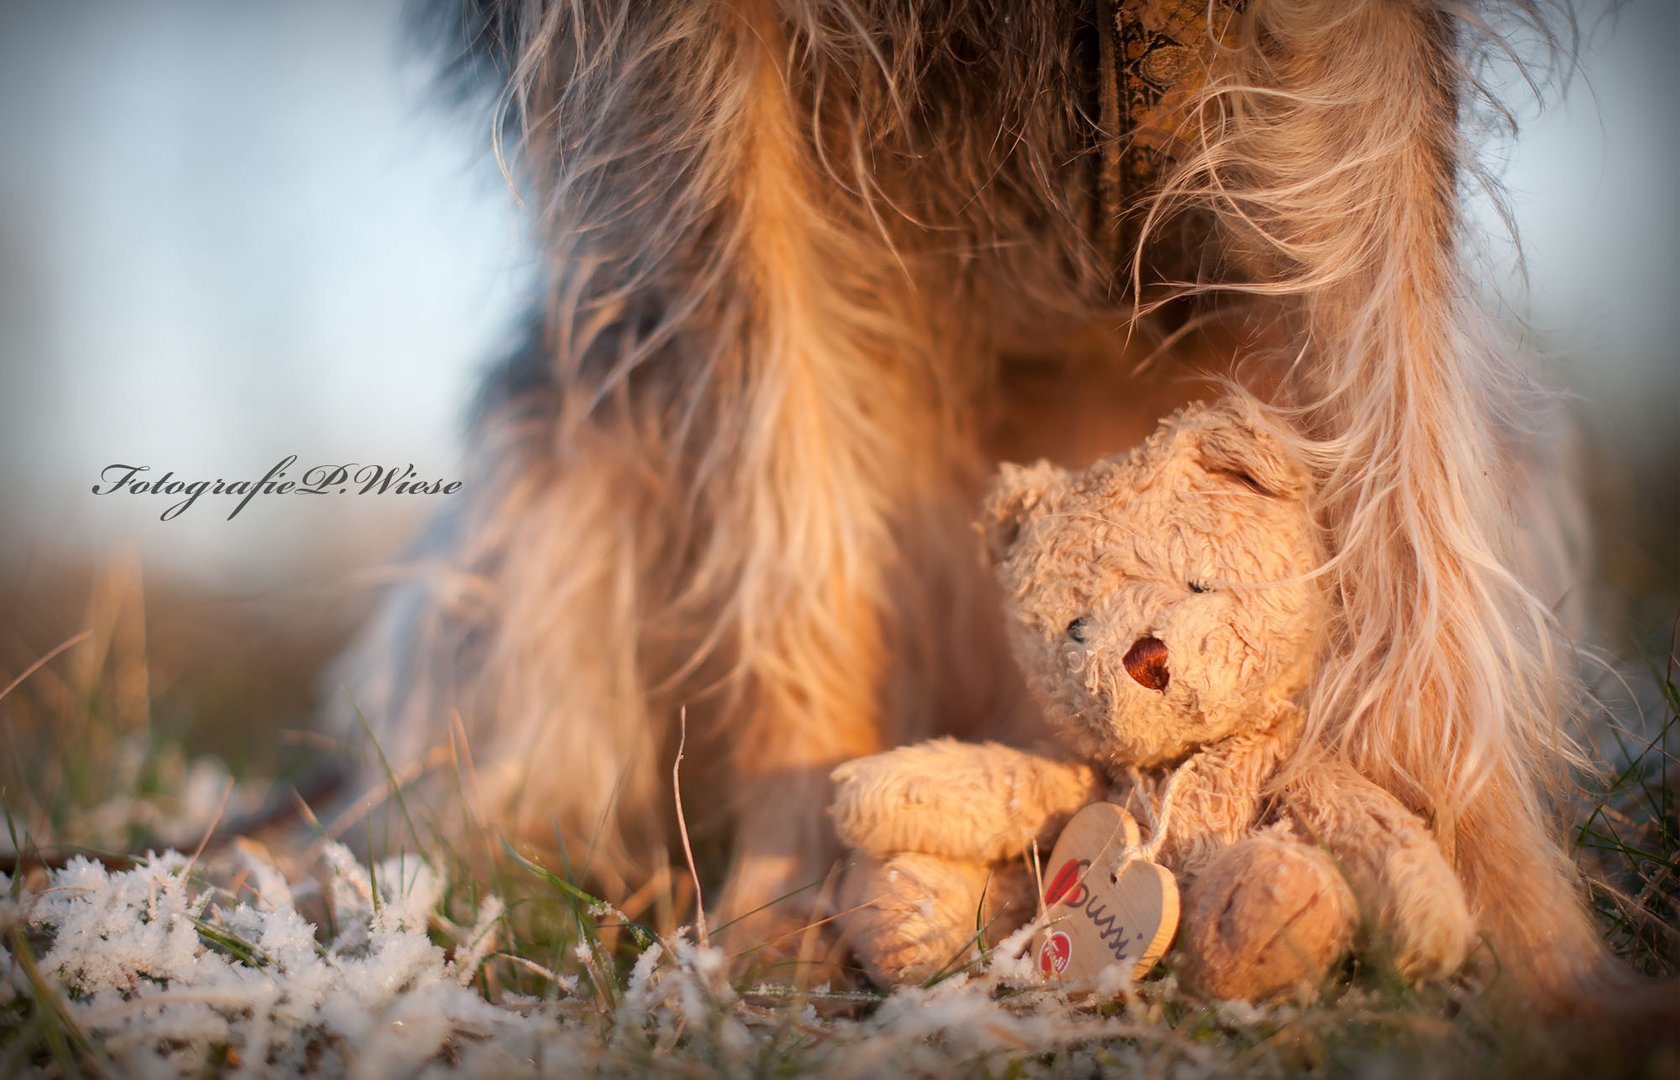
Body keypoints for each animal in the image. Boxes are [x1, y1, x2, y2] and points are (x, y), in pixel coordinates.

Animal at [330, 0, 1612, 1014]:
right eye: (1074, 622)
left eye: (1201, 583)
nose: (1147, 661)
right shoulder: (693, 66)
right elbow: (785, 498)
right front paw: (781, 907)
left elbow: (1404, 470)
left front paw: (1515, 924)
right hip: (551, 520)